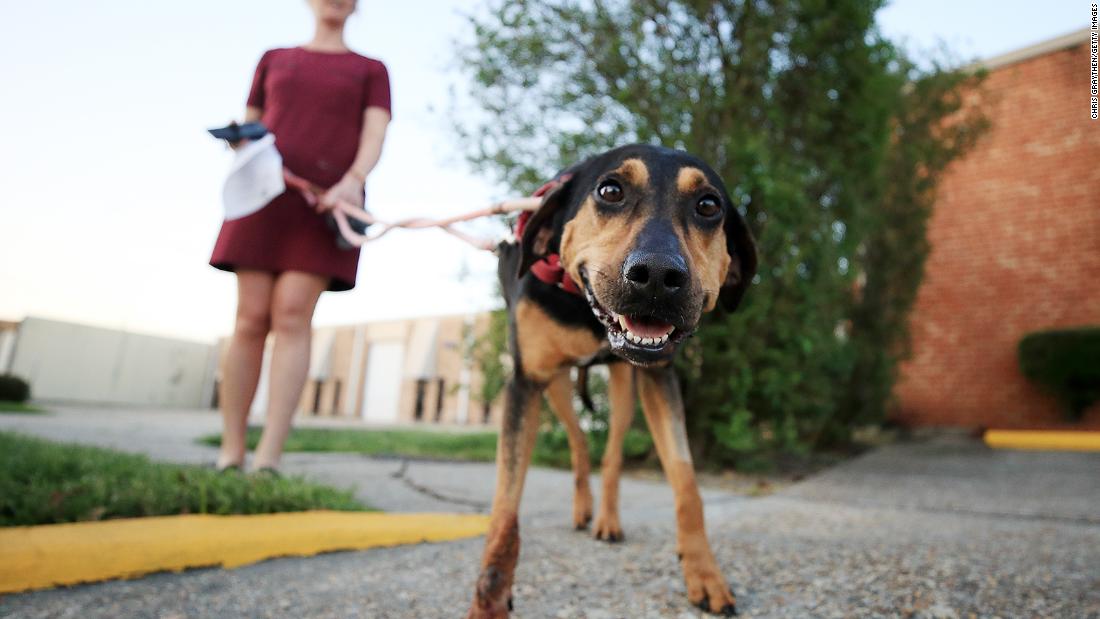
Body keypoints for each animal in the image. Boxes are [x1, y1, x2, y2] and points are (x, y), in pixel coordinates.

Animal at [468, 142, 761, 615]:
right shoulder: (525, 382)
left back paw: (605, 518)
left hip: (625, 386)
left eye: (708, 205)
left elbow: (687, 484)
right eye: (610, 190)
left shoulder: (659, 377)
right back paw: (583, 508)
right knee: (579, 439)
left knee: (611, 452)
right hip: (555, 387)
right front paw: (490, 600)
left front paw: (704, 573)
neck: (583, 307)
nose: (658, 276)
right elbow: (505, 508)